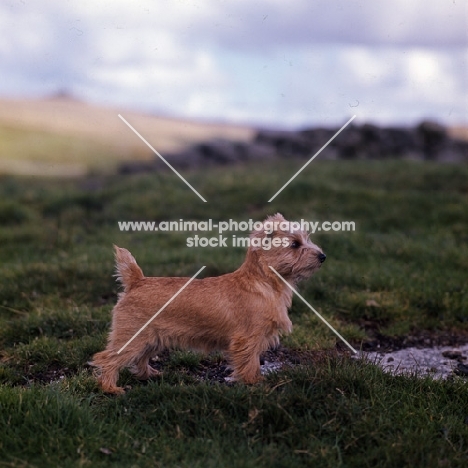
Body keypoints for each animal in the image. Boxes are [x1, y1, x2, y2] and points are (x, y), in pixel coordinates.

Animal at [90, 214, 326, 394]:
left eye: (306, 239)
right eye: (295, 244)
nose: (323, 256)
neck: (265, 282)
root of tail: (137, 281)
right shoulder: (248, 338)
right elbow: (249, 362)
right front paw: (254, 383)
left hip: (152, 338)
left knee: (140, 359)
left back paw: (149, 374)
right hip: (133, 336)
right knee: (107, 358)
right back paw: (111, 388)